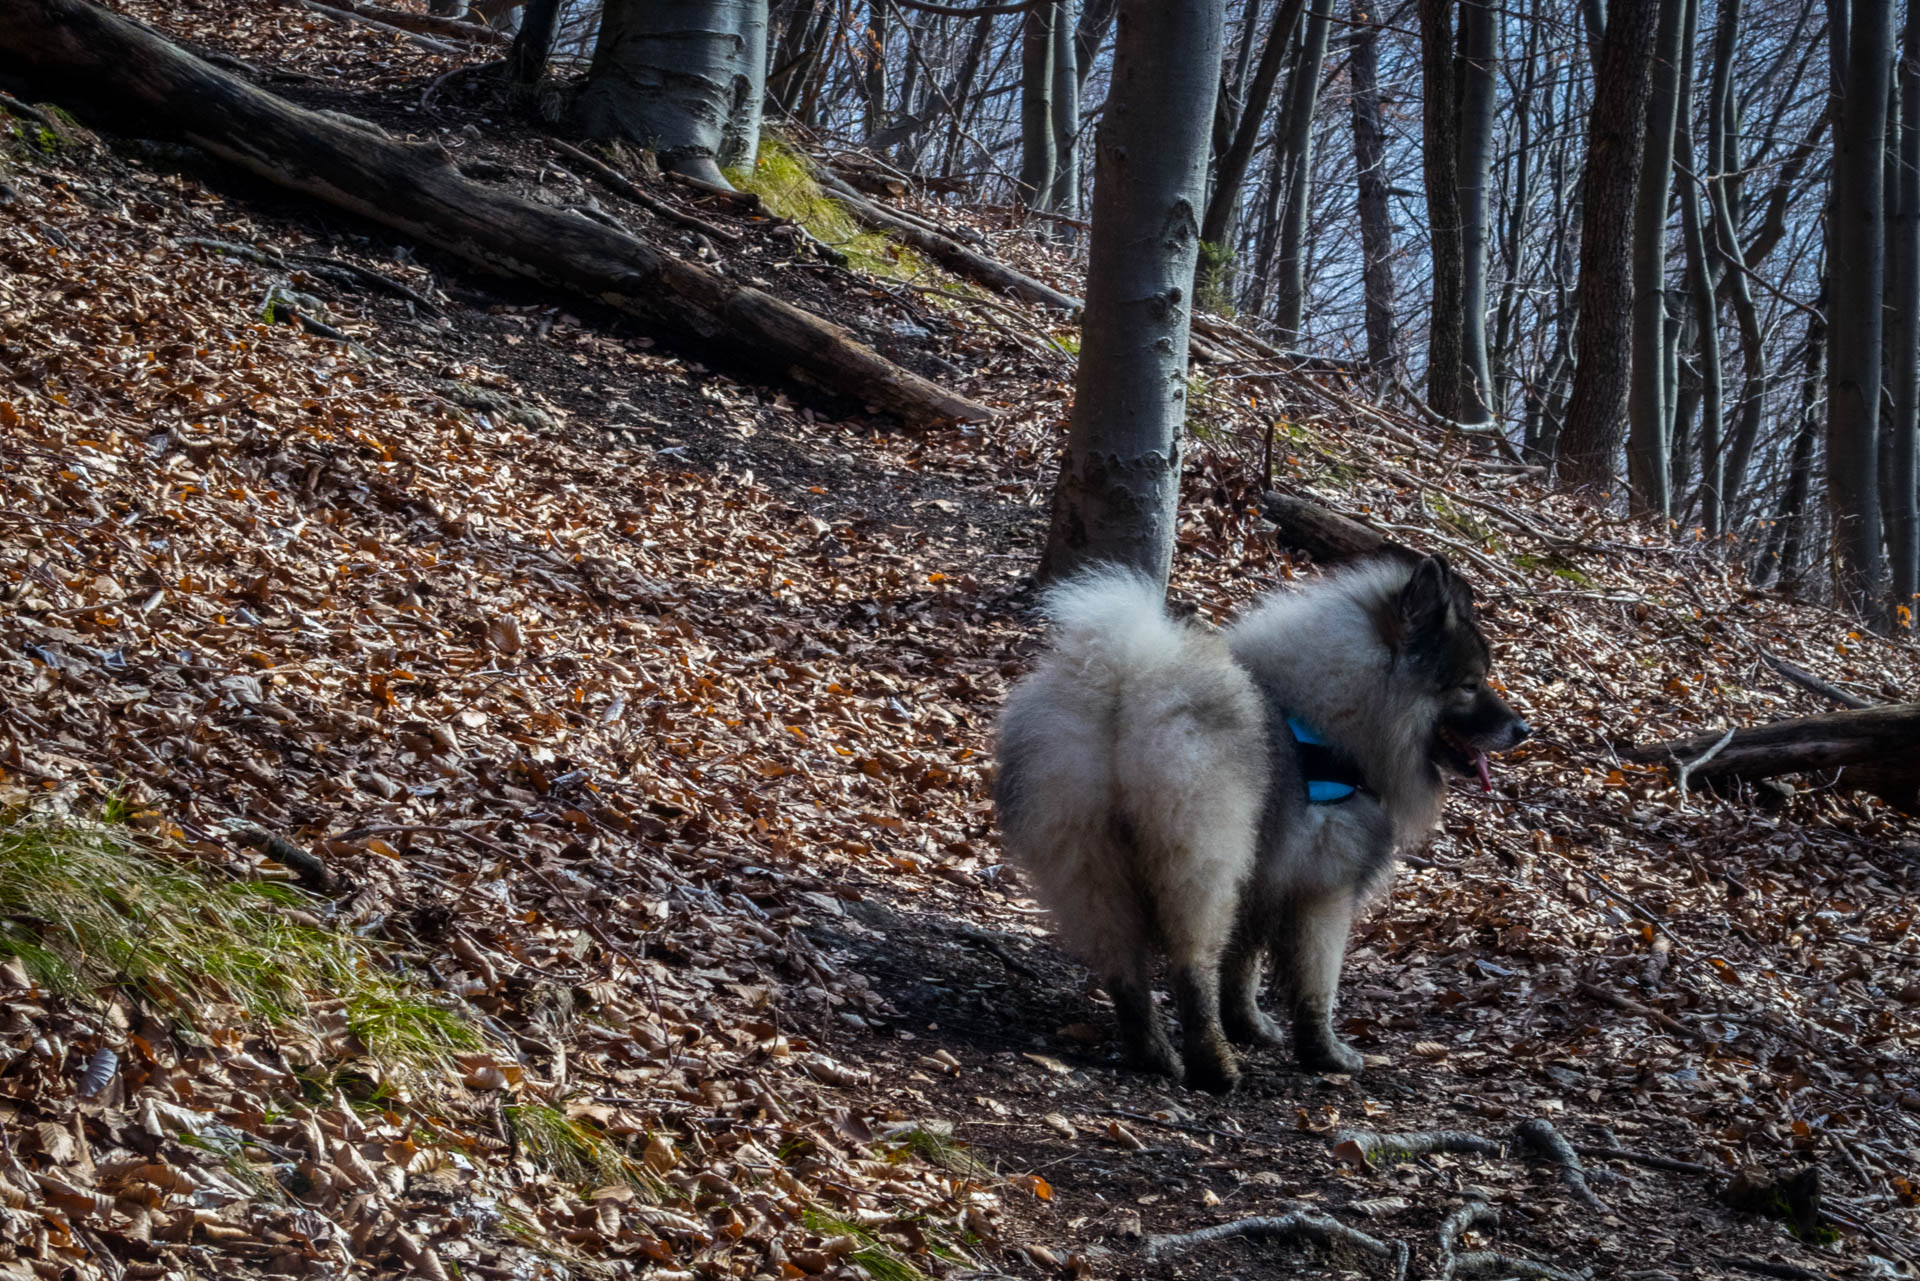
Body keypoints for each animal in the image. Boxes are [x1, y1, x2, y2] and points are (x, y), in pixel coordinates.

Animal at [998, 556, 1520, 1098]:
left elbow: (1242, 965)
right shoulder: (1322, 889)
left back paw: (1154, 1054)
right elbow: (1316, 984)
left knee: (1125, 972)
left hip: (1091, 863)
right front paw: (1325, 1054)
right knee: (1193, 966)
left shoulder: (1260, 878)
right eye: (1470, 684)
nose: (1522, 730)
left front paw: (1248, 1025)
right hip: (1201, 863)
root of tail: (1127, 687)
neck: (1333, 720)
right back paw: (1215, 1065)